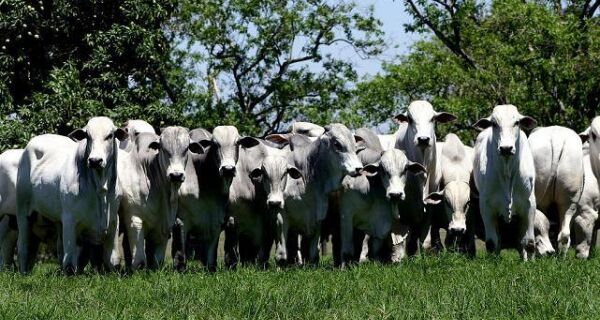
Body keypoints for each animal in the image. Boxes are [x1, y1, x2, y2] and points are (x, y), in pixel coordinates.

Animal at [16, 117, 127, 272]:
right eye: (88, 136)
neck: (100, 188)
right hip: (23, 211)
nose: (95, 161)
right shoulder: (70, 220)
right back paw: (24, 271)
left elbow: (112, 260)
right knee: (24, 247)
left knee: (58, 248)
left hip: (57, 220)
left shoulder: (113, 221)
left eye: (110, 136)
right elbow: (70, 262)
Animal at [117, 129, 204, 268]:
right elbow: (140, 259)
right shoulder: (134, 220)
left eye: (186, 149)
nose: (176, 175)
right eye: (163, 149)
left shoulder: (164, 227)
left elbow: (157, 261)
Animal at [172, 126, 258, 272]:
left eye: (237, 143)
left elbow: (216, 255)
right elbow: (180, 252)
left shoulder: (220, 220)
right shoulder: (181, 220)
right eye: (215, 145)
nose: (228, 169)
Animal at [474, 105, 540, 260]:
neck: (507, 171)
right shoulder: (486, 207)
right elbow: (491, 242)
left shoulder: (529, 205)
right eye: (494, 124)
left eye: (516, 123)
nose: (506, 148)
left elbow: (529, 242)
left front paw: (531, 263)